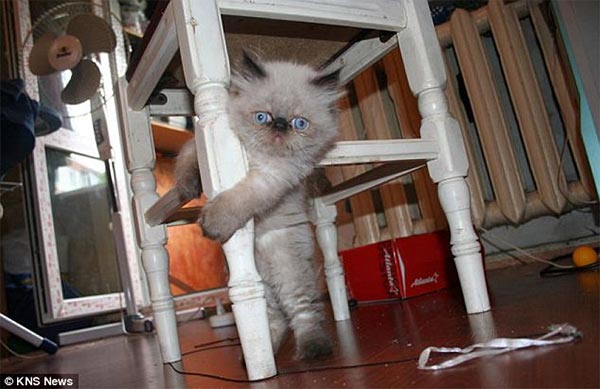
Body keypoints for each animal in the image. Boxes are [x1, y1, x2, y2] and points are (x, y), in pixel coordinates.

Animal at [175, 53, 342, 360]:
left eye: (300, 123)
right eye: (262, 117)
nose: (280, 126)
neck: (256, 155)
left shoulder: (271, 179)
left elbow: (237, 199)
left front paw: (213, 224)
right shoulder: (199, 147)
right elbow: (186, 160)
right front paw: (188, 188)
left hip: (288, 271)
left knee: (302, 311)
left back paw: (312, 350)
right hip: (261, 283)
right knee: (272, 320)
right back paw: (263, 353)